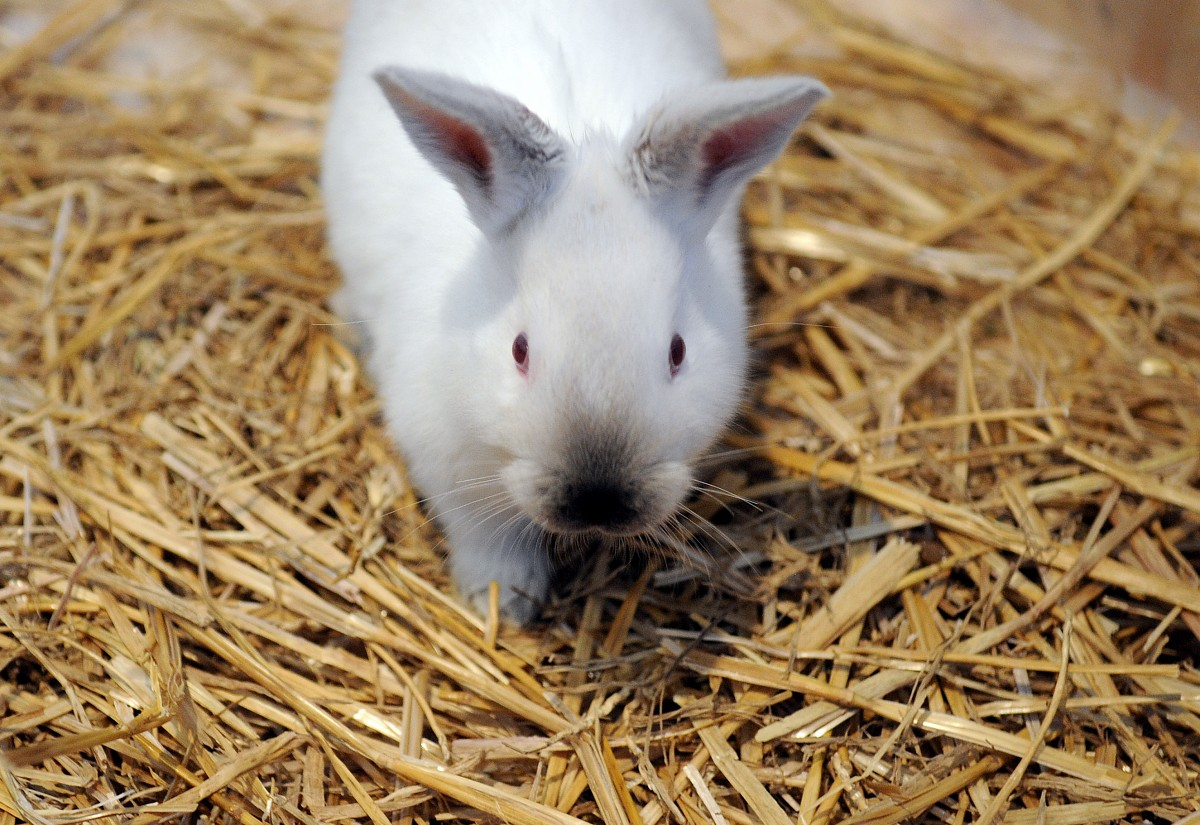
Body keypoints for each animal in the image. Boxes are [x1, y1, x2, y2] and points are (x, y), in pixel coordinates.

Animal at [321, 0, 825, 618]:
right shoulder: (449, 461)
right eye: (519, 350)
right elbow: (489, 536)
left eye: (678, 352)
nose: (598, 501)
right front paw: (504, 602)